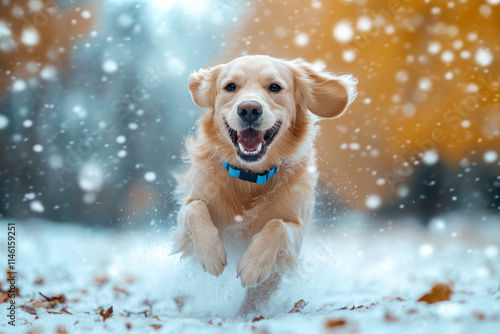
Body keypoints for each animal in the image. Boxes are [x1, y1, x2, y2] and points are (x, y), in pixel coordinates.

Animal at [172, 54, 356, 314]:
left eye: (275, 87)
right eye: (230, 86)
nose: (249, 109)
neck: (250, 177)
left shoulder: (295, 230)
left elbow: (277, 225)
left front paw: (253, 265)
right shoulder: (189, 207)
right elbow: (195, 209)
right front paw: (211, 254)